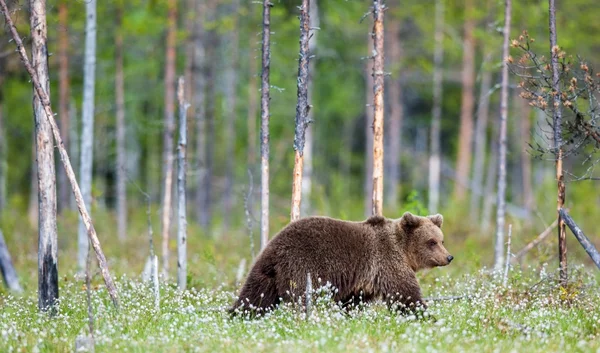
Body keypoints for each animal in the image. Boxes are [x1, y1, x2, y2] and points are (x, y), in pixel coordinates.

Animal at [230, 210, 450, 312]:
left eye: (441, 240)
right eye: (431, 242)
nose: (448, 257)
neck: (404, 251)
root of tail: (274, 246)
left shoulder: (363, 279)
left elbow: (352, 301)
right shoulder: (387, 261)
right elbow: (404, 293)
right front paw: (426, 315)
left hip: (265, 272)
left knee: (254, 295)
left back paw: (238, 315)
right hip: (303, 265)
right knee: (303, 297)